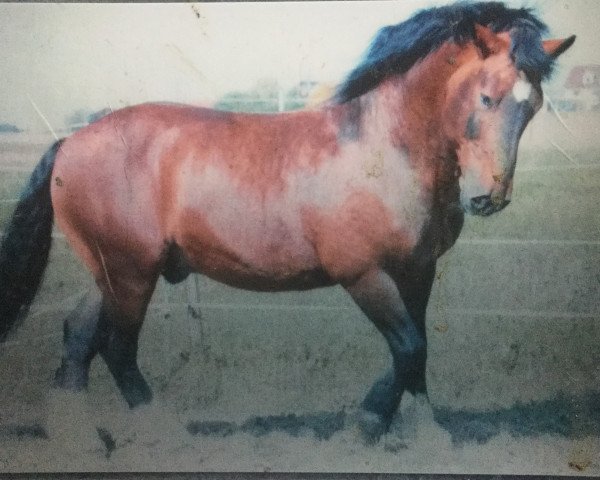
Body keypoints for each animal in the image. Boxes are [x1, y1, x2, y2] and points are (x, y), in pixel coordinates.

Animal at [0, 1, 576, 442]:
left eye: (533, 106)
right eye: (486, 97)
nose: (488, 197)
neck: (383, 149)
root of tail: (70, 142)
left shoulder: (418, 270)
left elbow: (414, 352)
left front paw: (405, 430)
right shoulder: (363, 274)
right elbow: (409, 347)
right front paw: (379, 428)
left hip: (109, 270)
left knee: (79, 335)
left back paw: (77, 439)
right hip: (131, 271)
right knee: (117, 347)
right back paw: (163, 433)